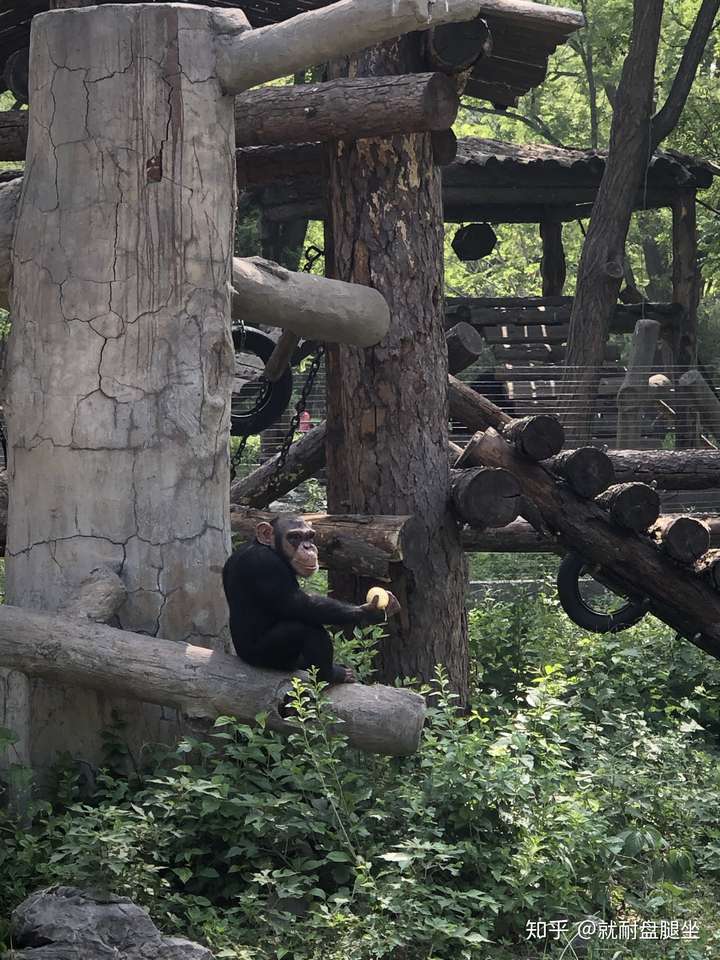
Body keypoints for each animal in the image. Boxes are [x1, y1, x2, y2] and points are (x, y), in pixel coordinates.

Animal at [222, 516, 400, 684]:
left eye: (309, 536)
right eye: (294, 536)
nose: (308, 547)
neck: (270, 549)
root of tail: (241, 656)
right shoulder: (265, 565)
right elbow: (300, 605)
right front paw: (370, 612)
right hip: (263, 657)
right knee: (305, 628)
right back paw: (333, 675)